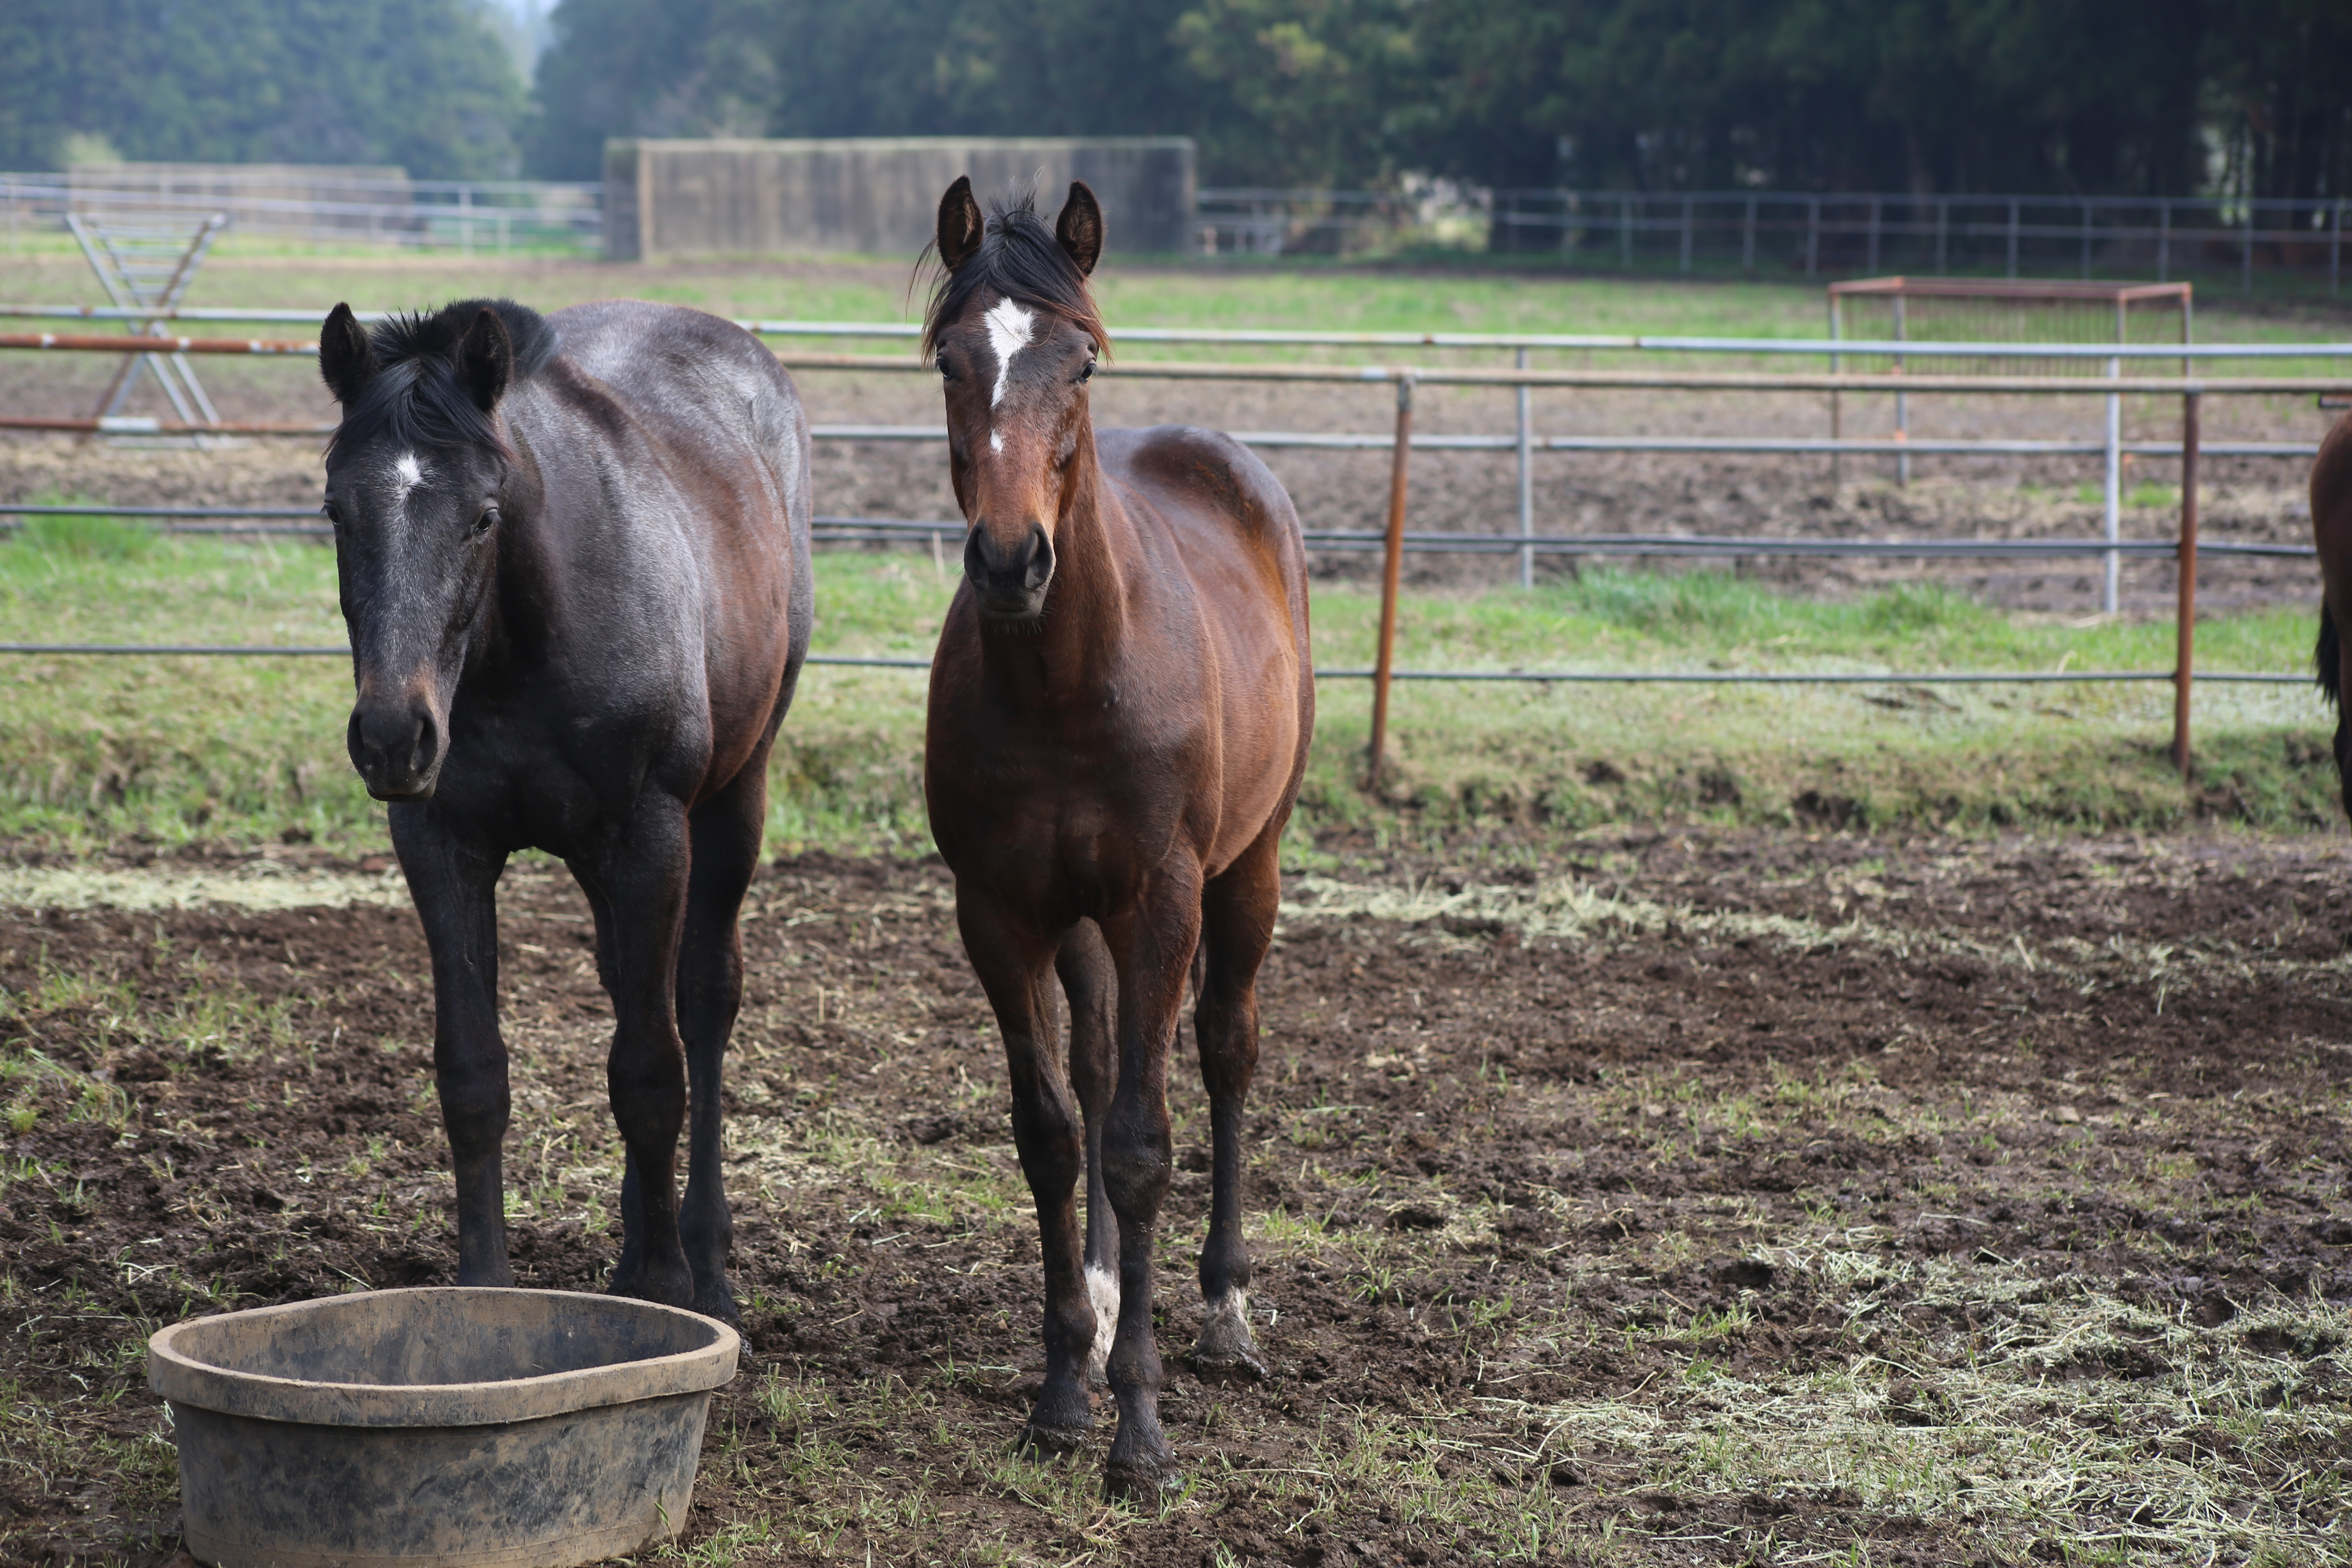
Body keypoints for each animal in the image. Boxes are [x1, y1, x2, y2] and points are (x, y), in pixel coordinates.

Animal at [317, 297, 818, 1326]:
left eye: (483, 515)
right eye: (337, 511)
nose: (392, 735)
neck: (522, 645)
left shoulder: (650, 837)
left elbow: (651, 1071)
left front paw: (670, 1289)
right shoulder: (441, 843)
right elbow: (474, 1073)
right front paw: (486, 1287)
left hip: (731, 801)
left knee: (701, 1001)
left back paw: (702, 1258)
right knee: (630, 984)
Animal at [922, 181, 1326, 1495]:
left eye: (1082, 364)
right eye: (948, 360)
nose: (1011, 559)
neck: (1069, 678)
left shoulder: (1162, 900)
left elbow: (1146, 1144)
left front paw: (1141, 1432)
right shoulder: (1000, 912)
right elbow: (1054, 1133)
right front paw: (1062, 1390)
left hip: (1248, 871)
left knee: (1226, 1051)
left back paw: (1222, 1317)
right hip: (1082, 918)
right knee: (1099, 1065)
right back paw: (1102, 1301)